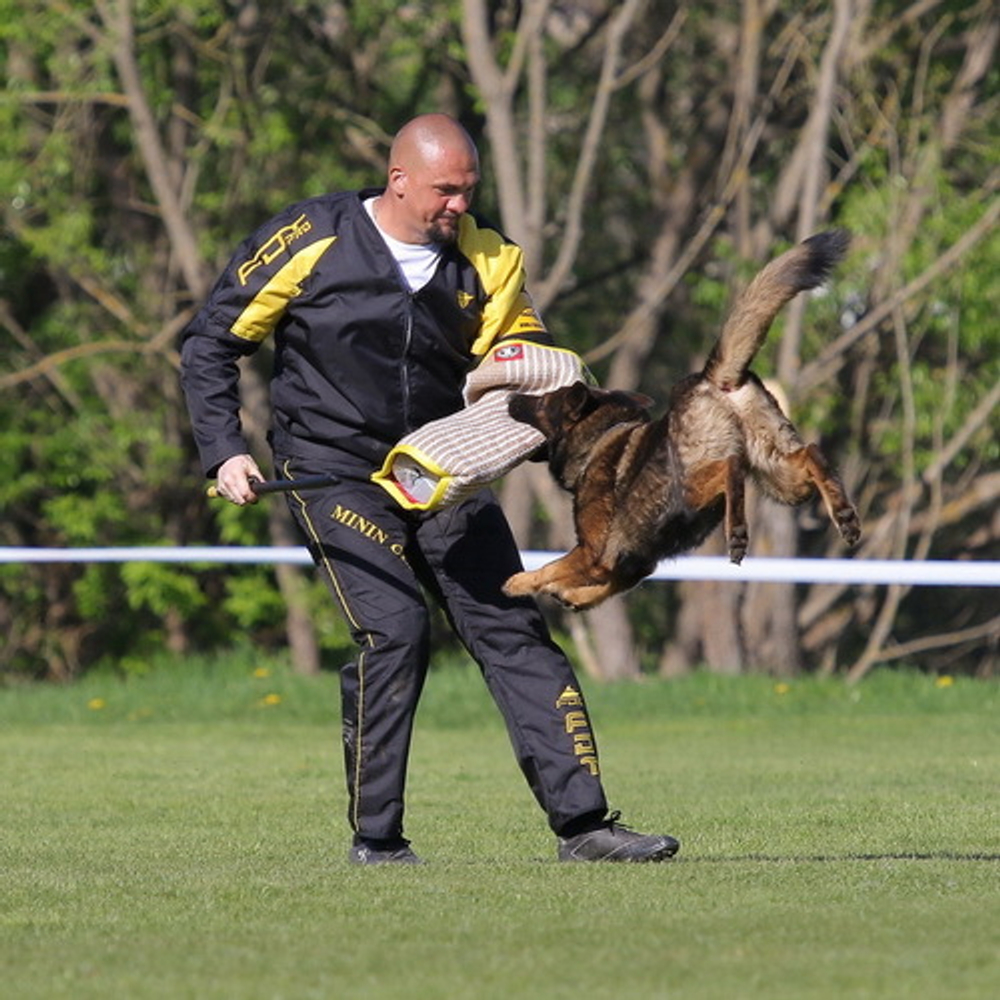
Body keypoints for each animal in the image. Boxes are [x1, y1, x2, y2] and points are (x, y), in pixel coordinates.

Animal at [504, 231, 864, 608]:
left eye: (542, 401)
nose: (512, 400)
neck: (598, 440)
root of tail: (714, 378)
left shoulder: (592, 552)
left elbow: (550, 568)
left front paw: (519, 582)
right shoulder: (628, 565)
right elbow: (603, 585)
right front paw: (573, 595)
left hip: (690, 489)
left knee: (732, 467)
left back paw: (738, 531)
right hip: (782, 479)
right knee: (810, 453)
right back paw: (844, 515)